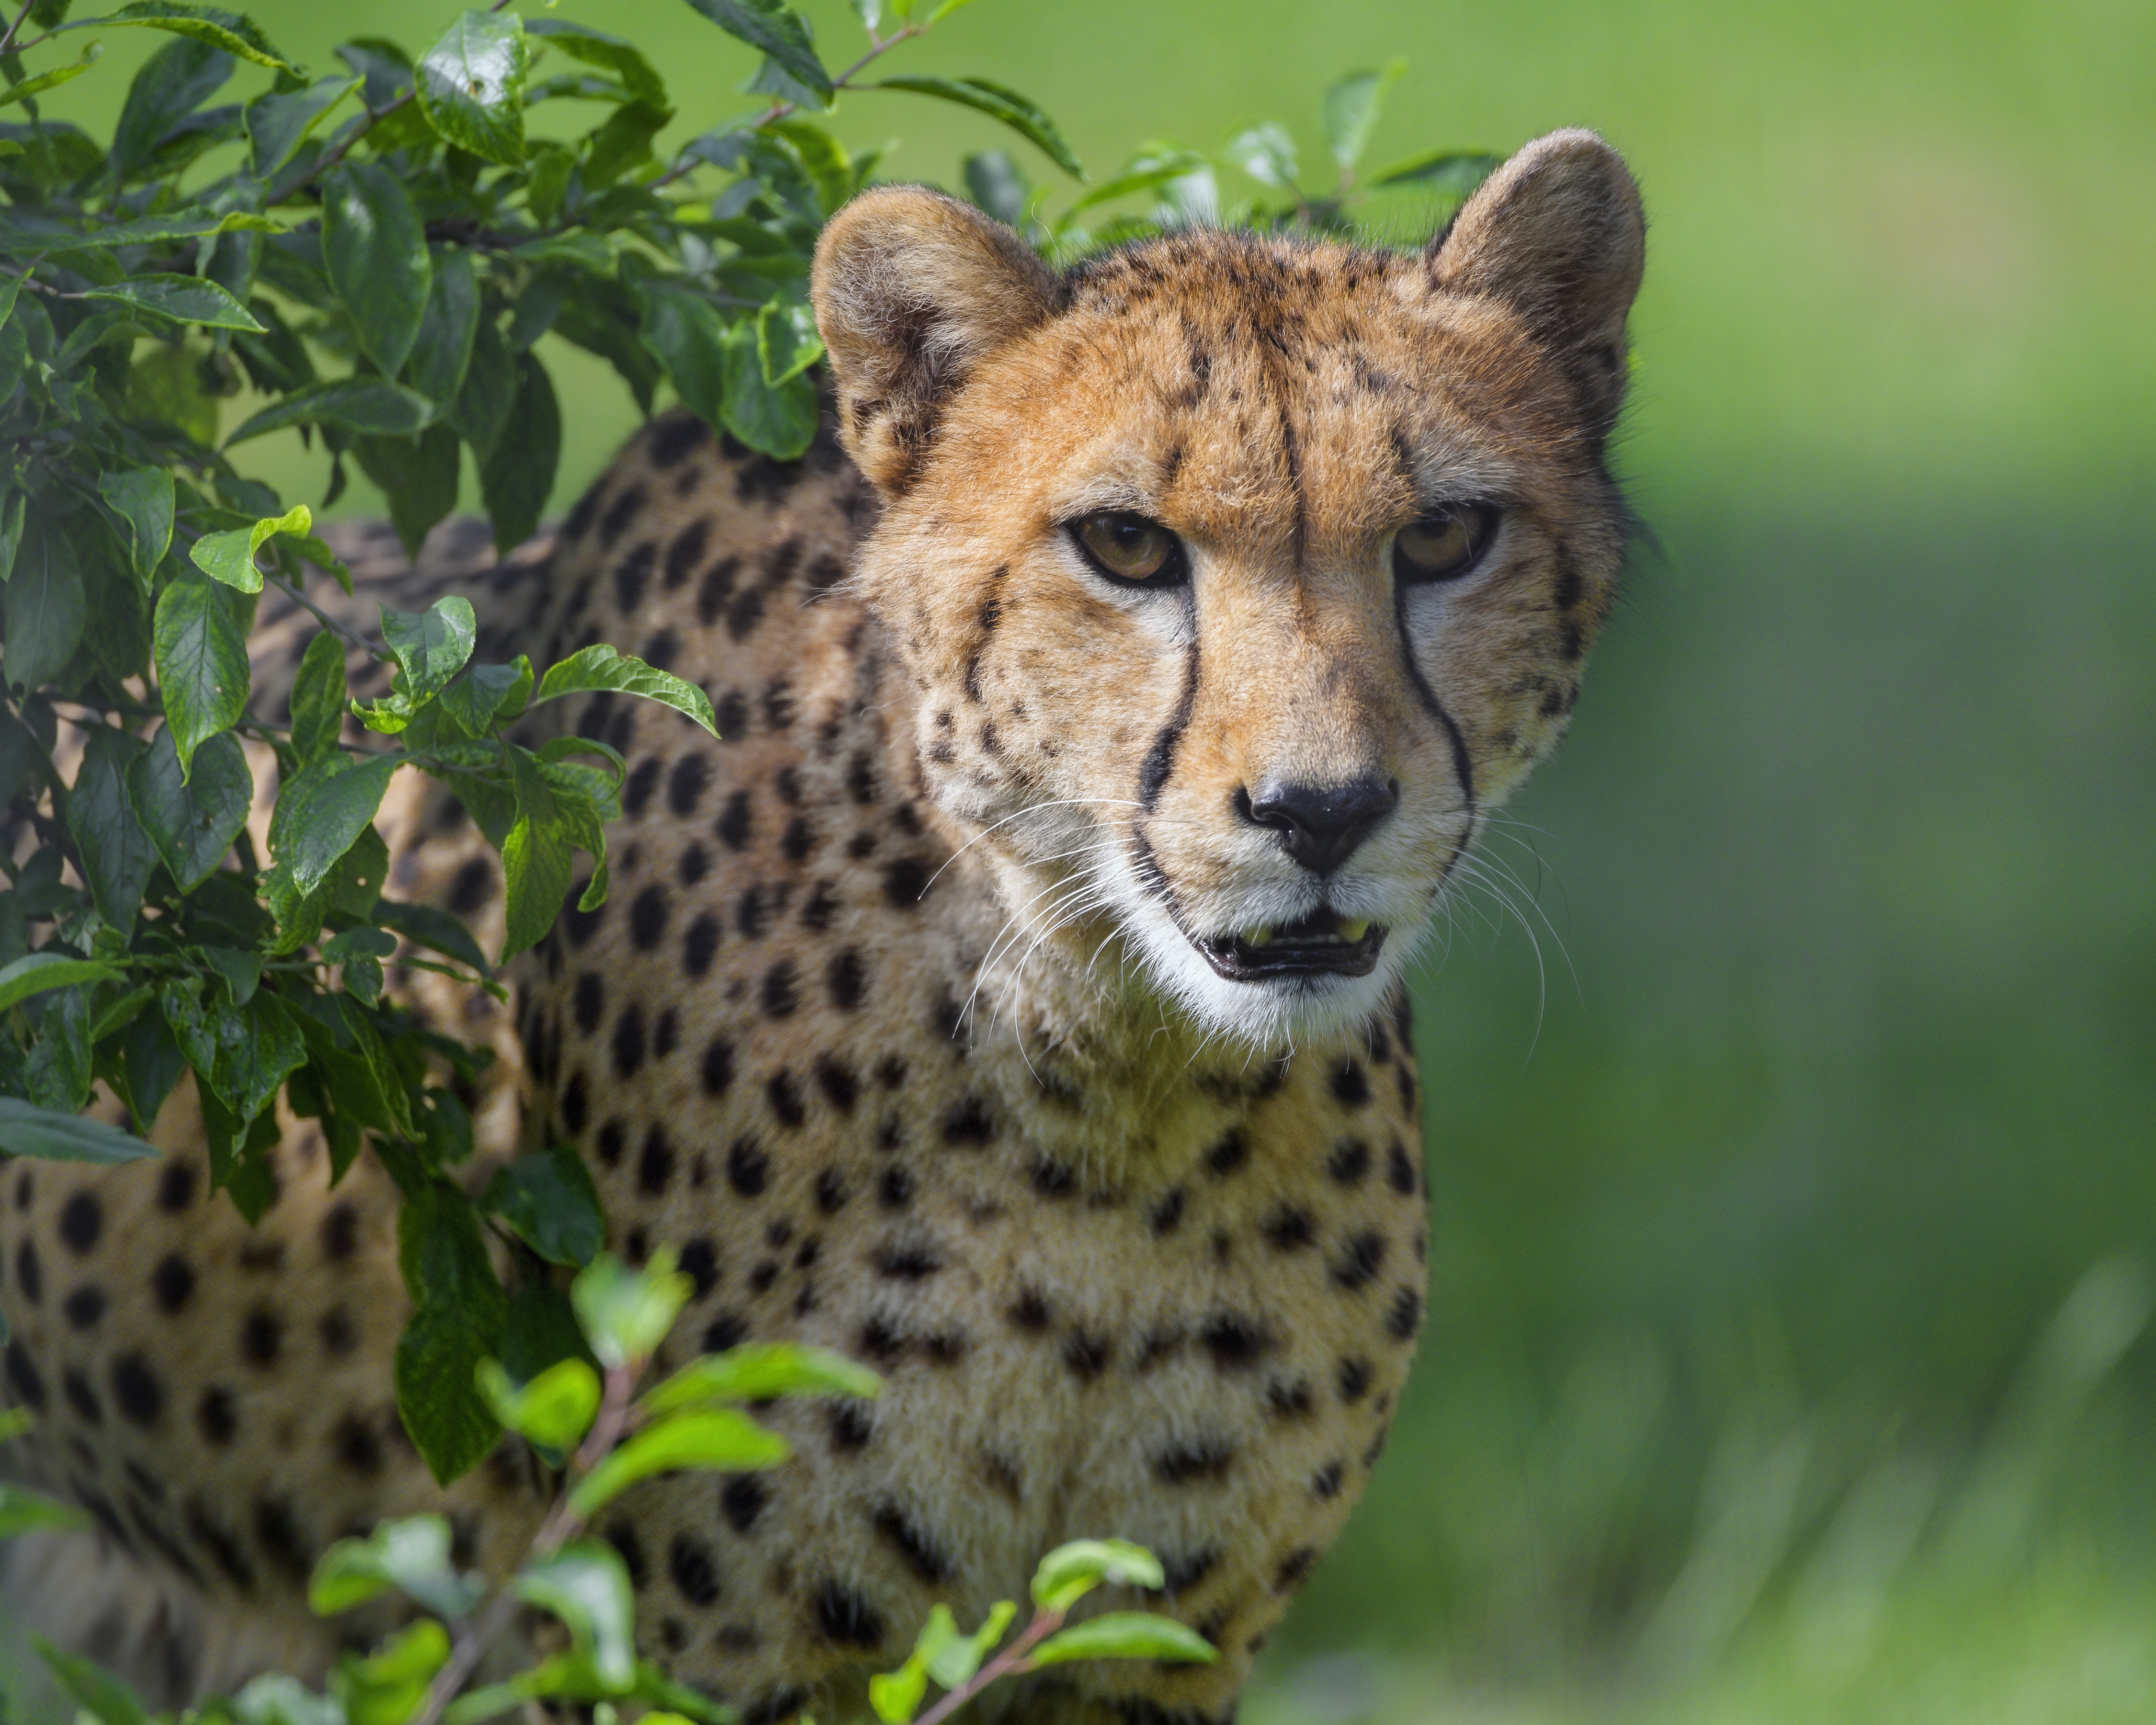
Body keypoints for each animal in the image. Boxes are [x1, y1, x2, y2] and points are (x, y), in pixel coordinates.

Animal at [4, 131, 1647, 1725]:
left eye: (1443, 534)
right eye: (1123, 544)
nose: (1320, 811)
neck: (1116, 1107)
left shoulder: (1135, 1649)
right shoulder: (681, 1656)